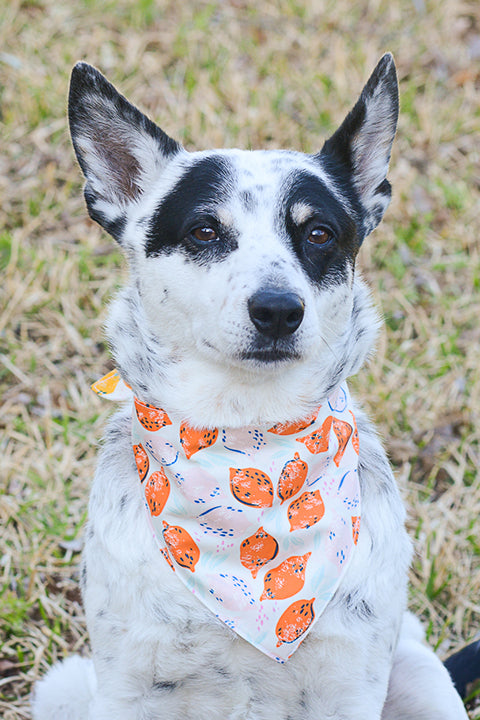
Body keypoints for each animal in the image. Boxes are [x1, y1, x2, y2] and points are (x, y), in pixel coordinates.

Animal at [31, 53, 474, 716]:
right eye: (205, 232)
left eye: (318, 234)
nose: (278, 309)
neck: (249, 437)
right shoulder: (127, 684)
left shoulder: (351, 681)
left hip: (420, 674)